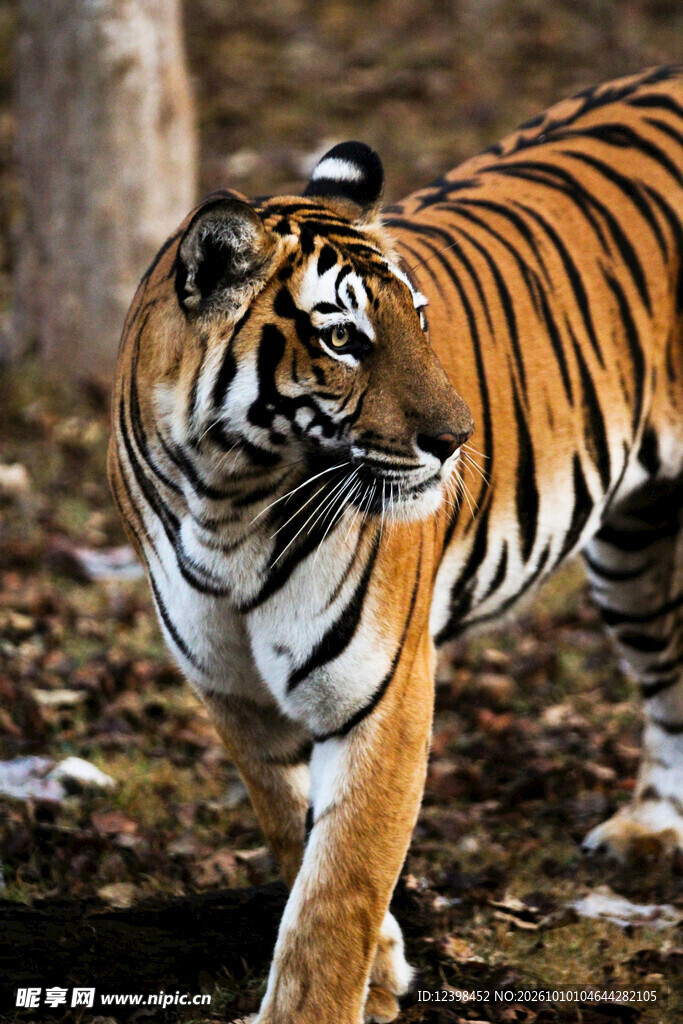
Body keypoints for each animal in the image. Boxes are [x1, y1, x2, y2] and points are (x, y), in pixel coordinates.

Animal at [109, 65, 683, 1024]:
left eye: (418, 320)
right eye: (343, 338)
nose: (458, 439)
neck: (224, 499)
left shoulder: (380, 690)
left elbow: (337, 888)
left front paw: (327, 998)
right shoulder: (233, 693)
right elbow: (297, 839)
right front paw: (381, 966)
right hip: (635, 548)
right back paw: (651, 828)